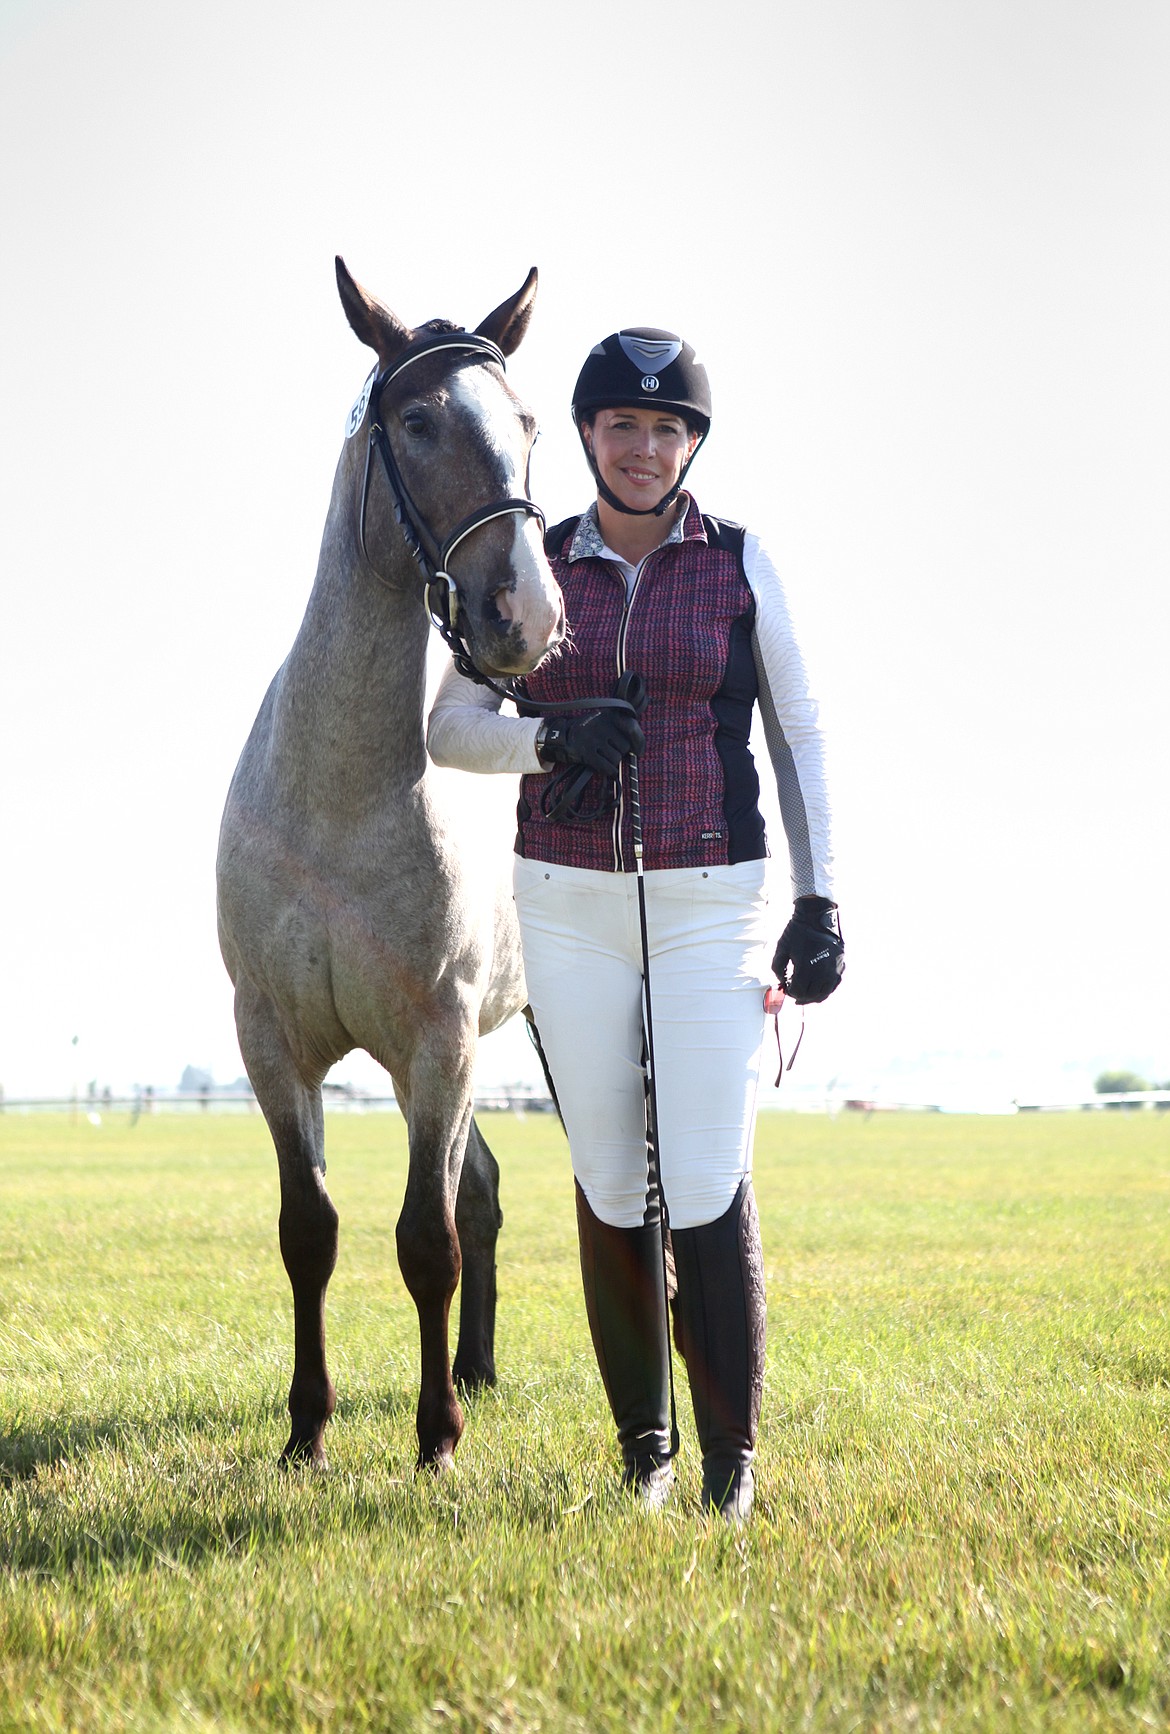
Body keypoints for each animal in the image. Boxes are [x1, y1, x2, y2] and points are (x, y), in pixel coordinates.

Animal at [221, 256, 568, 1470]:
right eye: (417, 421)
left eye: (527, 422)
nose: (527, 614)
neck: (338, 805)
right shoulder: (274, 1040)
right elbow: (308, 1230)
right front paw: (306, 1432)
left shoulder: (439, 1038)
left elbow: (428, 1239)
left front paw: (435, 1441)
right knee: (489, 1193)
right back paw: (477, 1366)